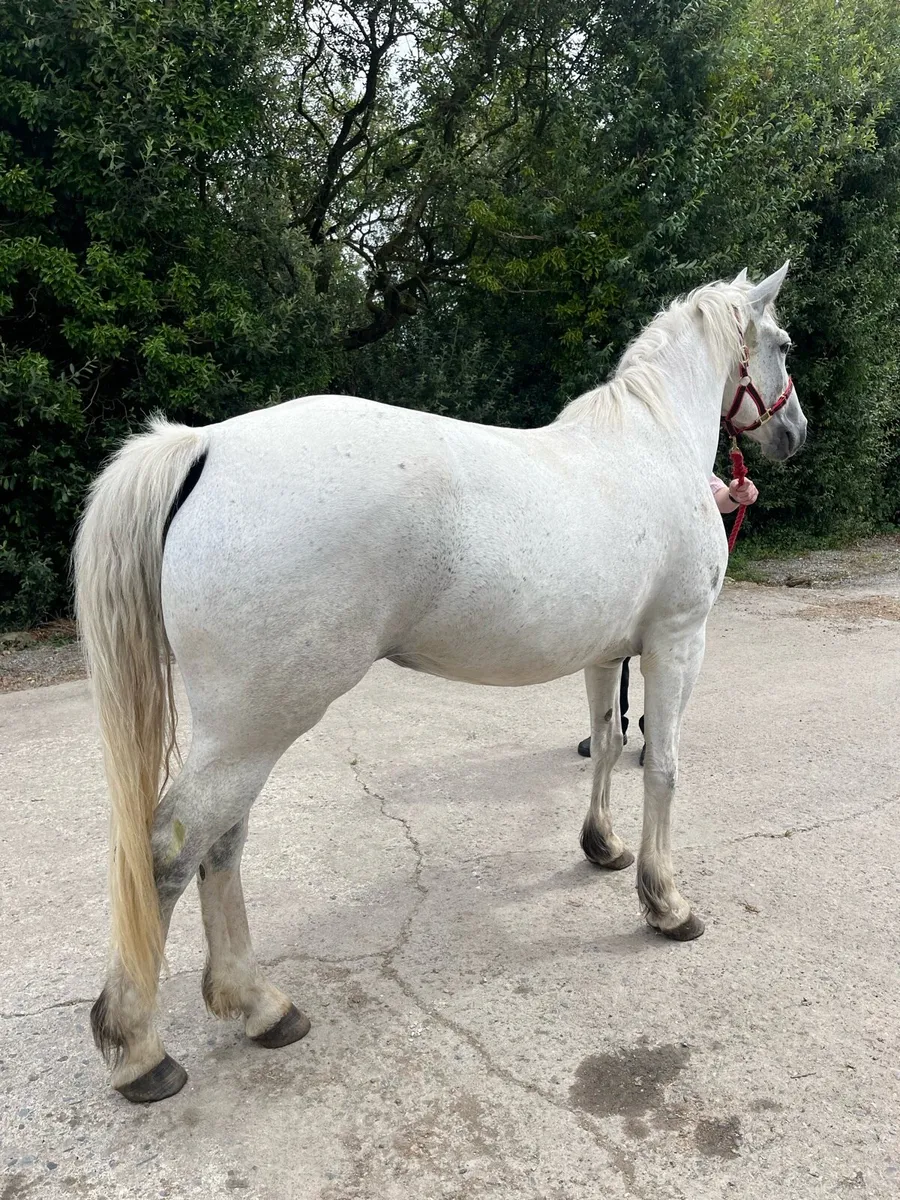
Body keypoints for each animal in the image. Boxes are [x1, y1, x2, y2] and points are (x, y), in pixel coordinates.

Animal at [74, 264, 805, 1102]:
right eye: (784, 344)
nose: (795, 434)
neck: (650, 443)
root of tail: (207, 445)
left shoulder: (605, 653)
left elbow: (609, 743)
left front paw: (603, 847)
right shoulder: (678, 642)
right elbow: (662, 767)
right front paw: (666, 904)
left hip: (242, 729)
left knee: (221, 844)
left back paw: (259, 1008)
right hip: (253, 727)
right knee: (175, 848)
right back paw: (141, 1048)